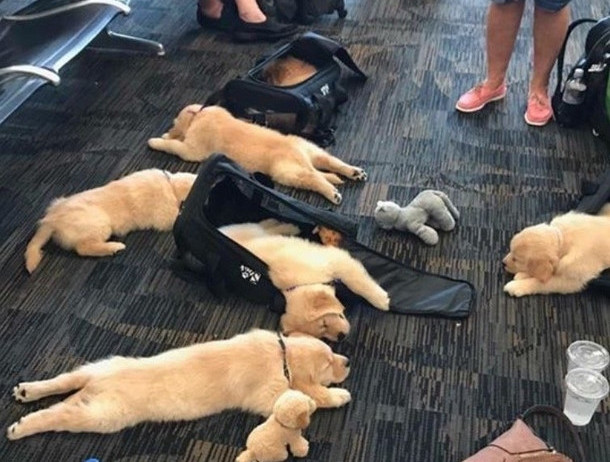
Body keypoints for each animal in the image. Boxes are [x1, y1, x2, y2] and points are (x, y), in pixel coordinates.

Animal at [6, 329, 351, 440]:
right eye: (328, 363)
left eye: (332, 352)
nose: (346, 361)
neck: (281, 354)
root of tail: (99, 384)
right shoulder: (270, 394)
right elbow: (307, 396)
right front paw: (338, 394)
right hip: (104, 416)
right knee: (60, 416)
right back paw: (20, 428)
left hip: (95, 368)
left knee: (61, 384)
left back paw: (28, 390)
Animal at [24, 169, 196, 273]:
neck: (171, 186)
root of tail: (49, 221)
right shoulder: (165, 217)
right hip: (99, 224)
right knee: (83, 248)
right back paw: (114, 247)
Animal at [147, 105, 367, 204]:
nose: (169, 129)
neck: (200, 113)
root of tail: (300, 155)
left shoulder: (192, 150)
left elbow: (174, 146)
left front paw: (158, 140)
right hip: (312, 149)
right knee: (331, 163)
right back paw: (355, 172)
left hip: (288, 172)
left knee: (314, 177)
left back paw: (332, 193)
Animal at [220, 219, 390, 340]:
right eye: (322, 335)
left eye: (324, 323)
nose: (341, 337)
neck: (300, 282)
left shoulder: (334, 260)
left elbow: (358, 282)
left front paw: (381, 300)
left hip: (250, 230)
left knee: (263, 226)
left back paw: (288, 226)